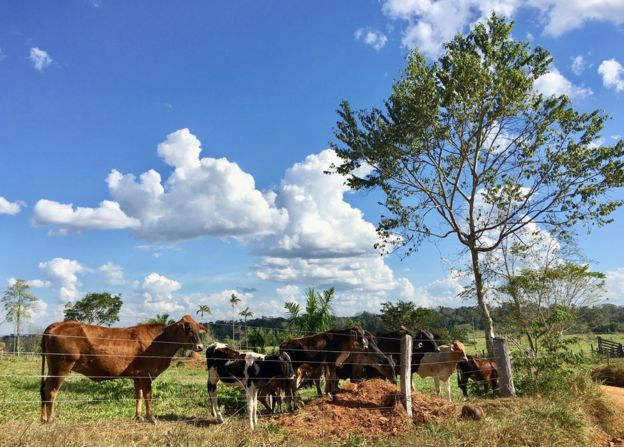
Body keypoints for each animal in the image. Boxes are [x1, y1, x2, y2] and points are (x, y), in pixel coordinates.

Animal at [41, 316, 207, 424]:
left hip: (52, 369)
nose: (200, 347)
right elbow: (148, 396)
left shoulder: (137, 376)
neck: (160, 340)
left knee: (43, 389)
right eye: (188, 329)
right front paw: (152, 418)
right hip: (61, 368)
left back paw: (43, 418)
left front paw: (139, 416)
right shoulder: (146, 374)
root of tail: (56, 325)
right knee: (51, 391)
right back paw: (51, 419)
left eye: (198, 329)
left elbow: (138, 396)